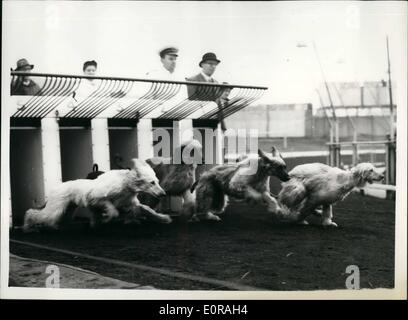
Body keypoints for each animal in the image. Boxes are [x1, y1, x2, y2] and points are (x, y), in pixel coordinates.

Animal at [23, 158, 170, 231]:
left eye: (157, 181)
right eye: (152, 182)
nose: (163, 194)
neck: (125, 185)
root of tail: (54, 189)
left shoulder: (130, 203)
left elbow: (148, 210)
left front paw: (163, 218)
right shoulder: (97, 198)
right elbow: (113, 210)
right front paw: (105, 219)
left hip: (67, 209)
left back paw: (56, 227)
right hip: (56, 208)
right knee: (33, 213)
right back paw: (27, 227)